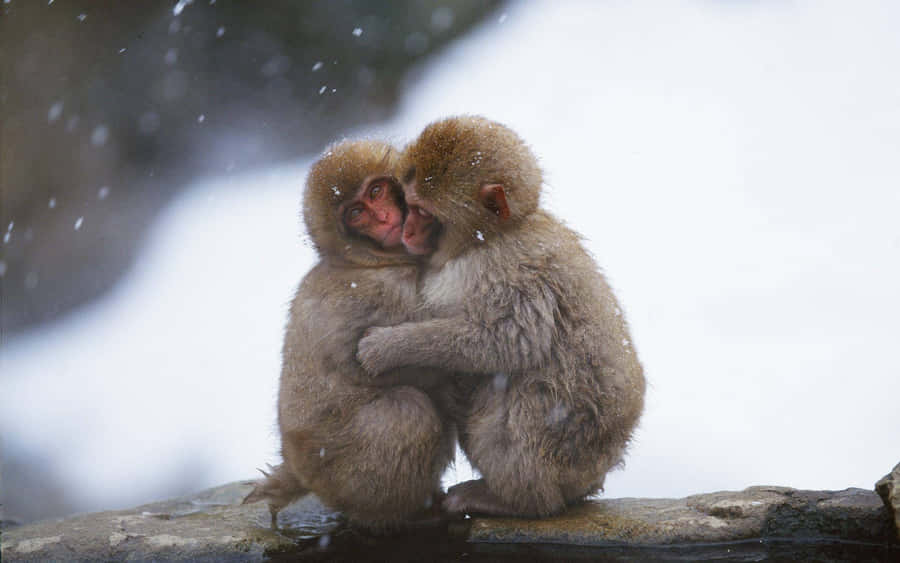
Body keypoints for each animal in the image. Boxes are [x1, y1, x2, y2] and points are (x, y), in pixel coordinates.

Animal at [243, 139, 455, 532]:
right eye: (357, 213)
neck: (368, 261)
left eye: (376, 191)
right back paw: (402, 516)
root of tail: (297, 467)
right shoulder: (382, 292)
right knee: (408, 413)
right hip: (342, 470)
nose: (385, 218)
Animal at [357, 116, 646, 518]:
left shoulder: (508, 269)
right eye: (407, 204)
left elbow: (510, 340)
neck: (489, 237)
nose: (407, 230)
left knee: (515, 392)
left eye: (423, 212)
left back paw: (516, 500)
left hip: (560, 448)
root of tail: (597, 469)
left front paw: (389, 347)